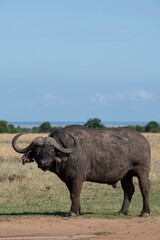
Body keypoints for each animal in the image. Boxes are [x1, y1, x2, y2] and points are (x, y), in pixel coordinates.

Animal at [11, 125, 151, 218]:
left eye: (51, 151)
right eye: (37, 152)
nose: (43, 163)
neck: (67, 155)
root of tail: (144, 140)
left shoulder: (77, 177)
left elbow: (75, 193)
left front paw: (72, 212)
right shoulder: (68, 179)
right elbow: (72, 194)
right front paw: (78, 210)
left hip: (142, 171)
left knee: (144, 188)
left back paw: (144, 212)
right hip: (126, 175)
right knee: (128, 190)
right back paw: (122, 212)